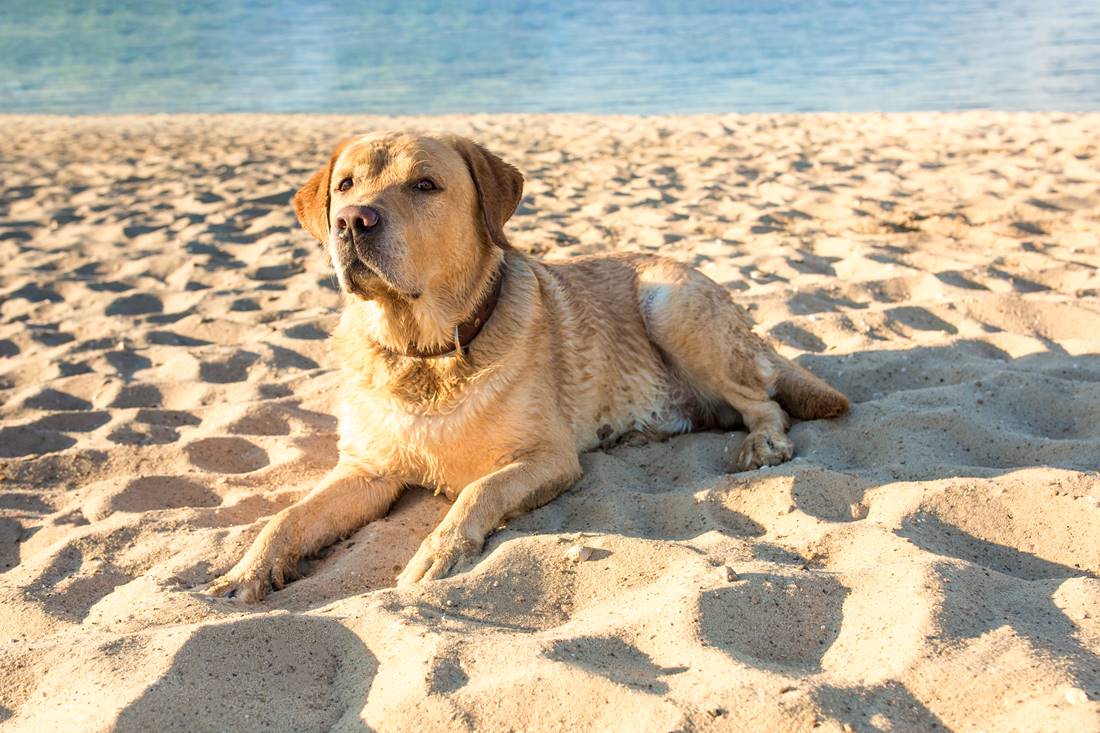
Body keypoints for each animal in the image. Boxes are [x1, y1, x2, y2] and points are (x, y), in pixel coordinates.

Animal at [207, 131, 849, 598]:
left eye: (424, 184)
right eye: (344, 185)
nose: (351, 221)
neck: (429, 352)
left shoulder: (548, 458)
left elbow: (475, 493)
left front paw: (438, 553)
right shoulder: (366, 471)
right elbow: (285, 519)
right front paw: (245, 572)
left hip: (669, 303)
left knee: (765, 400)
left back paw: (762, 442)